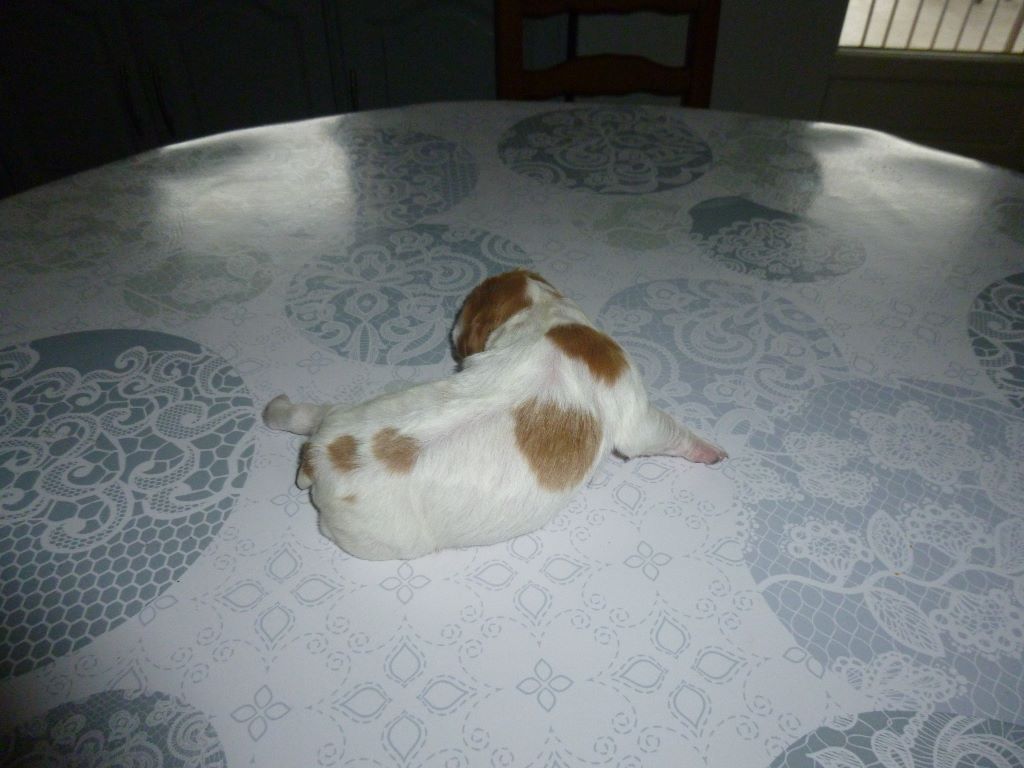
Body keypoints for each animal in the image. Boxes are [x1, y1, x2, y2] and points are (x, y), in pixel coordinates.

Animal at [263, 269, 727, 560]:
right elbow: (664, 431)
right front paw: (709, 451)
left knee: (303, 415)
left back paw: (276, 409)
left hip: (335, 412)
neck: (548, 319)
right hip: (375, 539)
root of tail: (320, 455)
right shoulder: (636, 414)